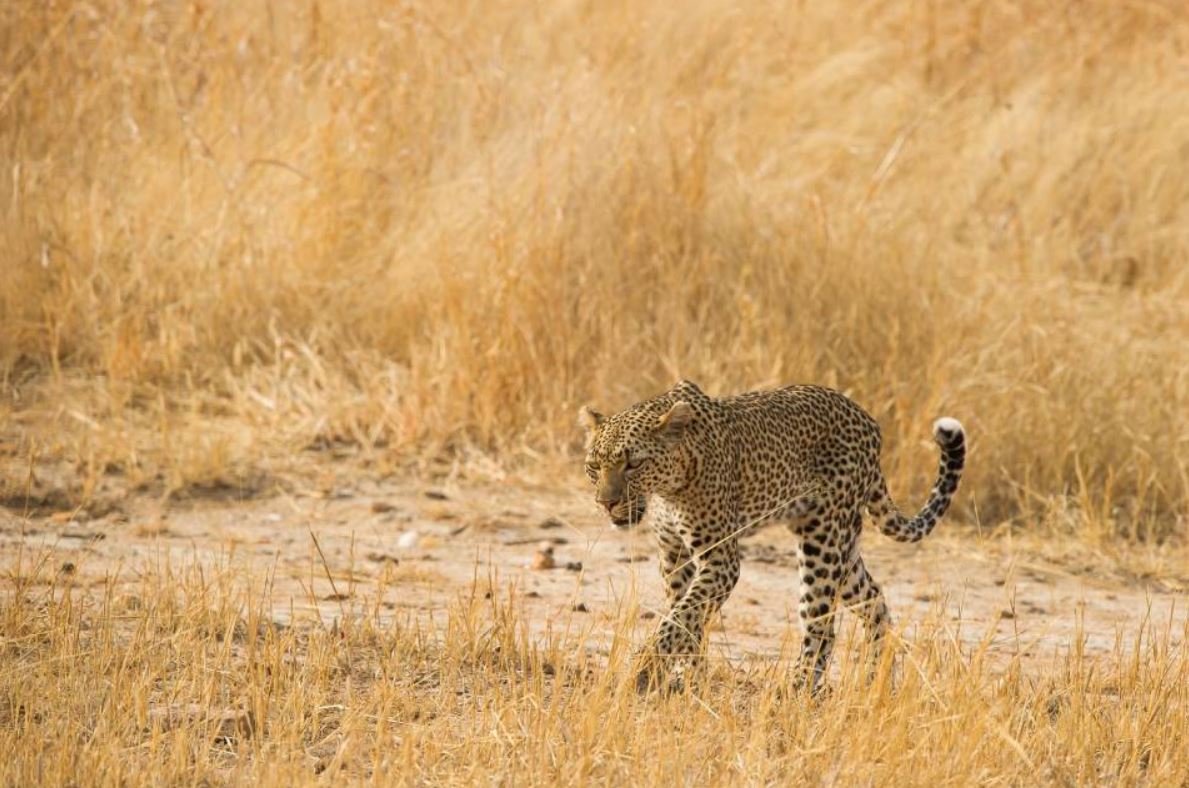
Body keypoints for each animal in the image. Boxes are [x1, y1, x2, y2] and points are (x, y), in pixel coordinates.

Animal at [582, 380, 965, 694]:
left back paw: (798, 688)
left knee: (822, 624)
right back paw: (876, 680)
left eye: (634, 464)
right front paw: (687, 675)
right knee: (874, 601)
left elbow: (681, 617)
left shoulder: (720, 558)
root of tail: (869, 422)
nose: (605, 502)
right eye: (593, 467)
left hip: (824, 540)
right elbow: (687, 616)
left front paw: (644, 671)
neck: (668, 489)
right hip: (842, 548)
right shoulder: (673, 555)